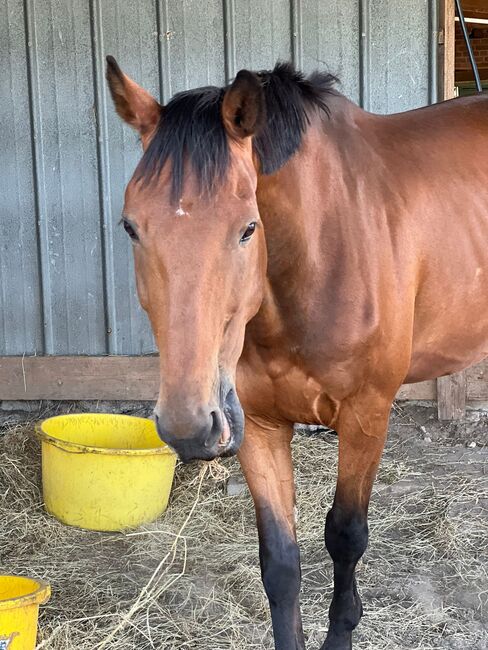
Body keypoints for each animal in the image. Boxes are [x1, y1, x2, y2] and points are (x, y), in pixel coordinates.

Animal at [106, 57, 488, 648]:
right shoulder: (257, 427)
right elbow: (281, 562)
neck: (320, 253)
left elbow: (346, 535)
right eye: (131, 227)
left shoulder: (366, 415)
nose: (190, 427)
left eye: (248, 228)